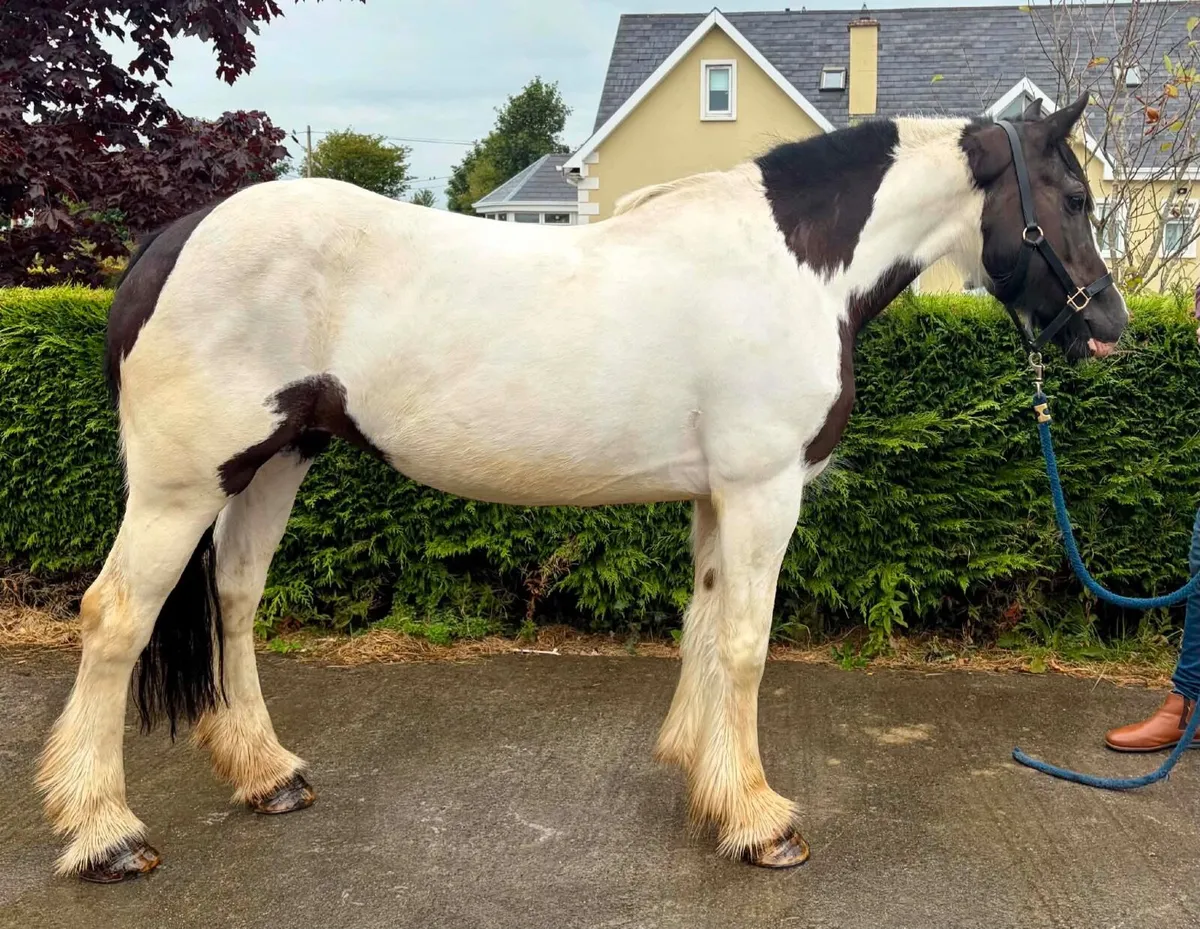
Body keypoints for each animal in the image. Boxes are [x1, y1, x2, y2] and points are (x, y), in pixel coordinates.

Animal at [37, 94, 1127, 881]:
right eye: (1073, 202)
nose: (1109, 326)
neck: (793, 266)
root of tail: (174, 239)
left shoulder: (716, 495)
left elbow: (703, 623)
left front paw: (703, 778)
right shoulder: (762, 490)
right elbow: (745, 642)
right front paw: (760, 819)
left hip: (274, 461)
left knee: (233, 598)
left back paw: (269, 775)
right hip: (183, 484)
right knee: (117, 615)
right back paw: (106, 832)